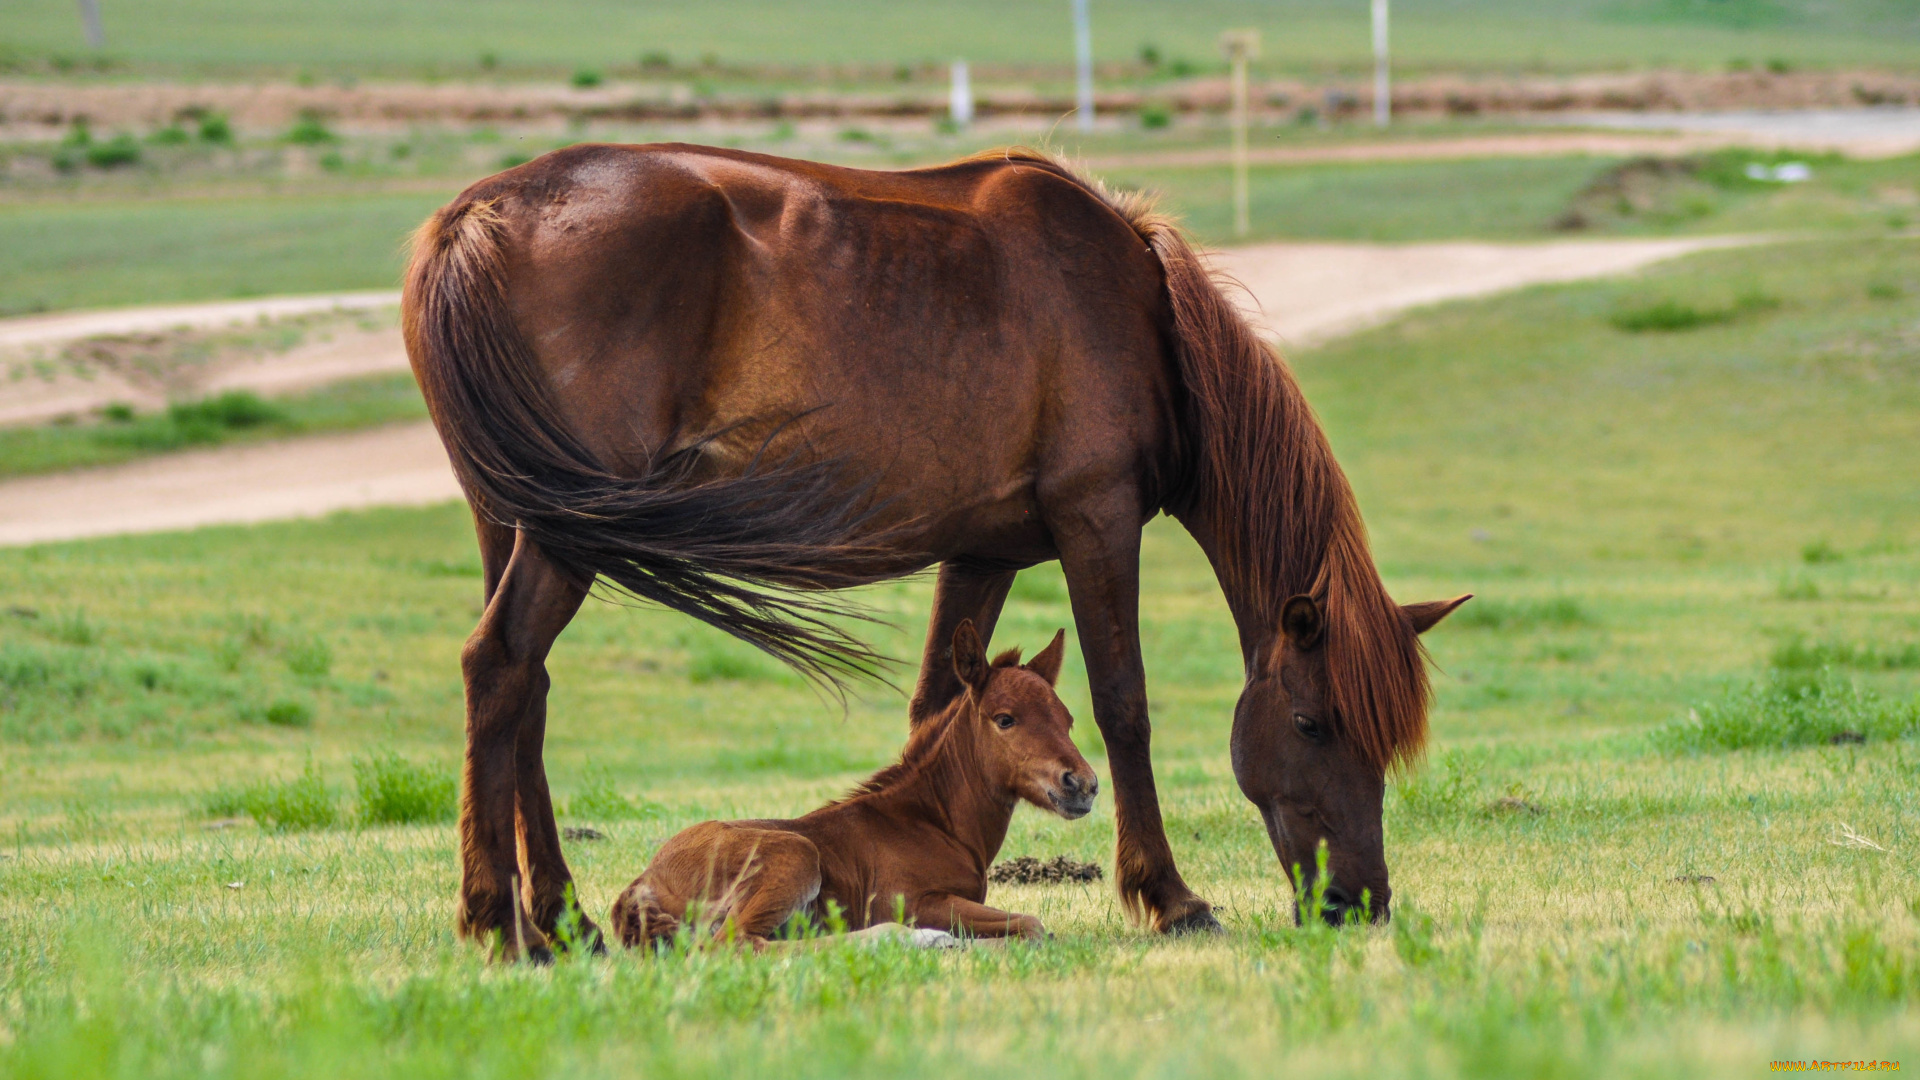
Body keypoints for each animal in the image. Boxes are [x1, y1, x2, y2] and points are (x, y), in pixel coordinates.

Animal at [610, 618, 1098, 945]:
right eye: (1005, 719)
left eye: (1068, 720)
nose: (1083, 784)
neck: (934, 823)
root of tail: (644, 881)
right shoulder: (916, 901)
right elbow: (1032, 925)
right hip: (795, 855)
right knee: (737, 944)